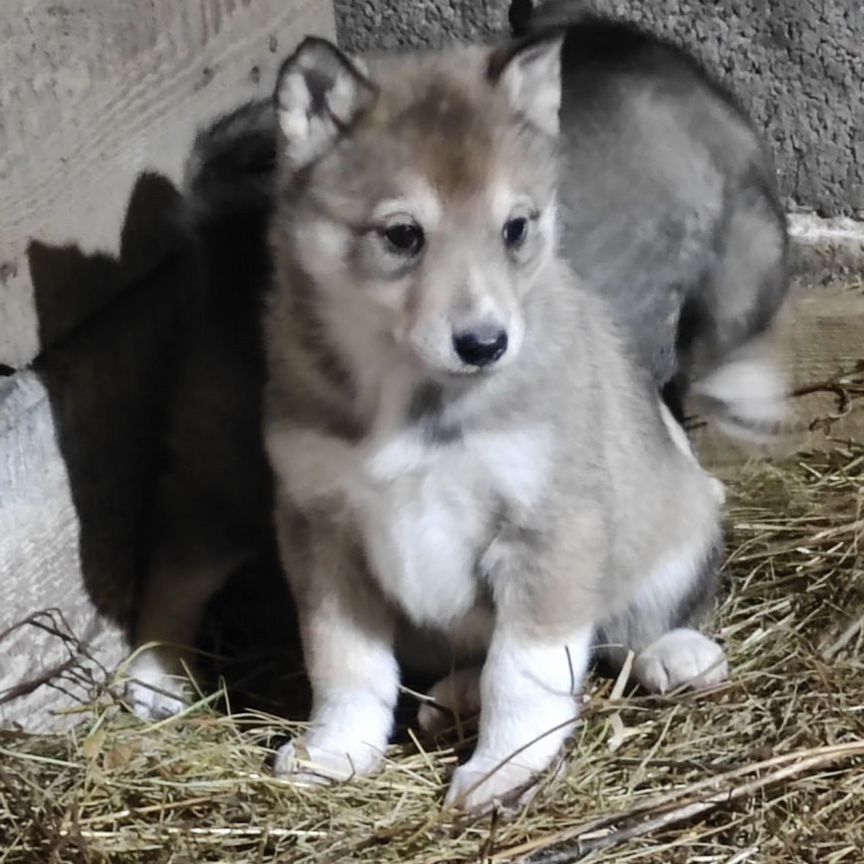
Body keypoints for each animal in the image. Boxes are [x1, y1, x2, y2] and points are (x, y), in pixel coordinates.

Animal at [264, 33, 728, 812]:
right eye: (402, 235)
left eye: (515, 228)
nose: (485, 344)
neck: (413, 397)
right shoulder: (319, 529)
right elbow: (345, 663)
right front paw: (335, 750)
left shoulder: (547, 527)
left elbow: (525, 670)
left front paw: (503, 767)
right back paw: (453, 698)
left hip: (680, 527)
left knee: (629, 631)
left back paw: (677, 654)